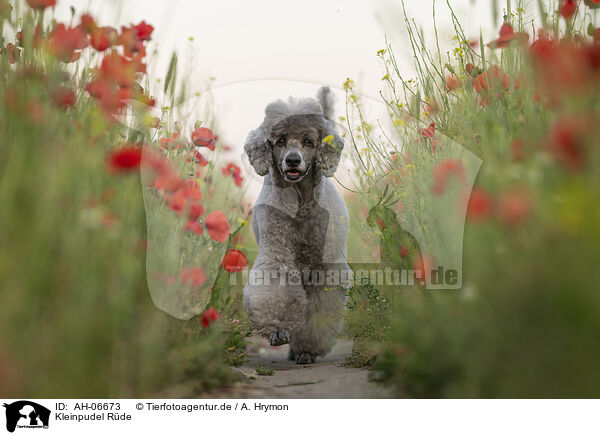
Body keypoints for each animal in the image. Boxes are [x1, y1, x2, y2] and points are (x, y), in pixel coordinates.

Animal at [243, 86, 350, 364]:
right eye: (280, 141)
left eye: (308, 142)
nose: (293, 160)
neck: (300, 204)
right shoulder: (276, 252)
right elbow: (275, 284)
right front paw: (279, 330)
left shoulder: (324, 267)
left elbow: (321, 308)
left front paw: (307, 348)